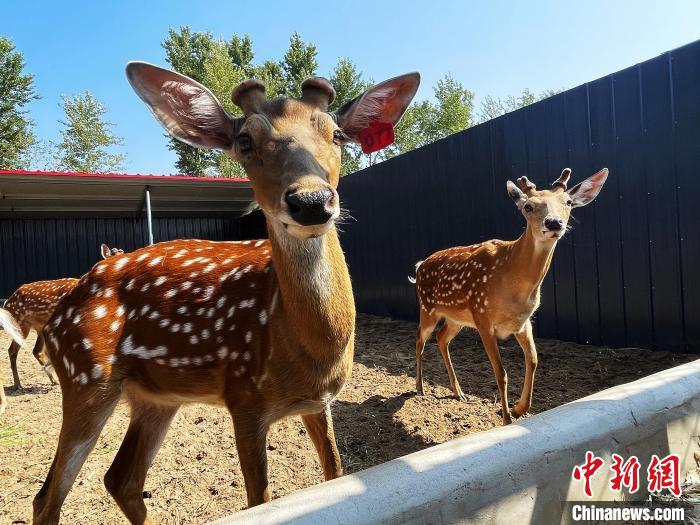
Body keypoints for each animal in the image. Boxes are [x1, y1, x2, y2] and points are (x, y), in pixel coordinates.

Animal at [30, 60, 418, 520]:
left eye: (338, 134)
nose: (310, 201)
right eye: (245, 140)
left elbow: (335, 473)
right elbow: (258, 500)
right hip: (85, 375)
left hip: (155, 396)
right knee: (47, 496)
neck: (305, 347)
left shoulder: (319, 403)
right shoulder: (244, 396)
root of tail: (62, 308)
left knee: (121, 478)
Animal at [410, 169, 608, 426]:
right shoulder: (483, 318)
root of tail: (420, 266)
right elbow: (501, 373)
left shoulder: (523, 322)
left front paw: (518, 408)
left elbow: (533, 360)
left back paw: (458, 391)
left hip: (456, 318)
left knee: (442, 339)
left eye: (568, 202)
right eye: (528, 206)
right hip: (428, 308)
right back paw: (420, 387)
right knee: (419, 339)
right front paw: (506, 419)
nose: (554, 222)